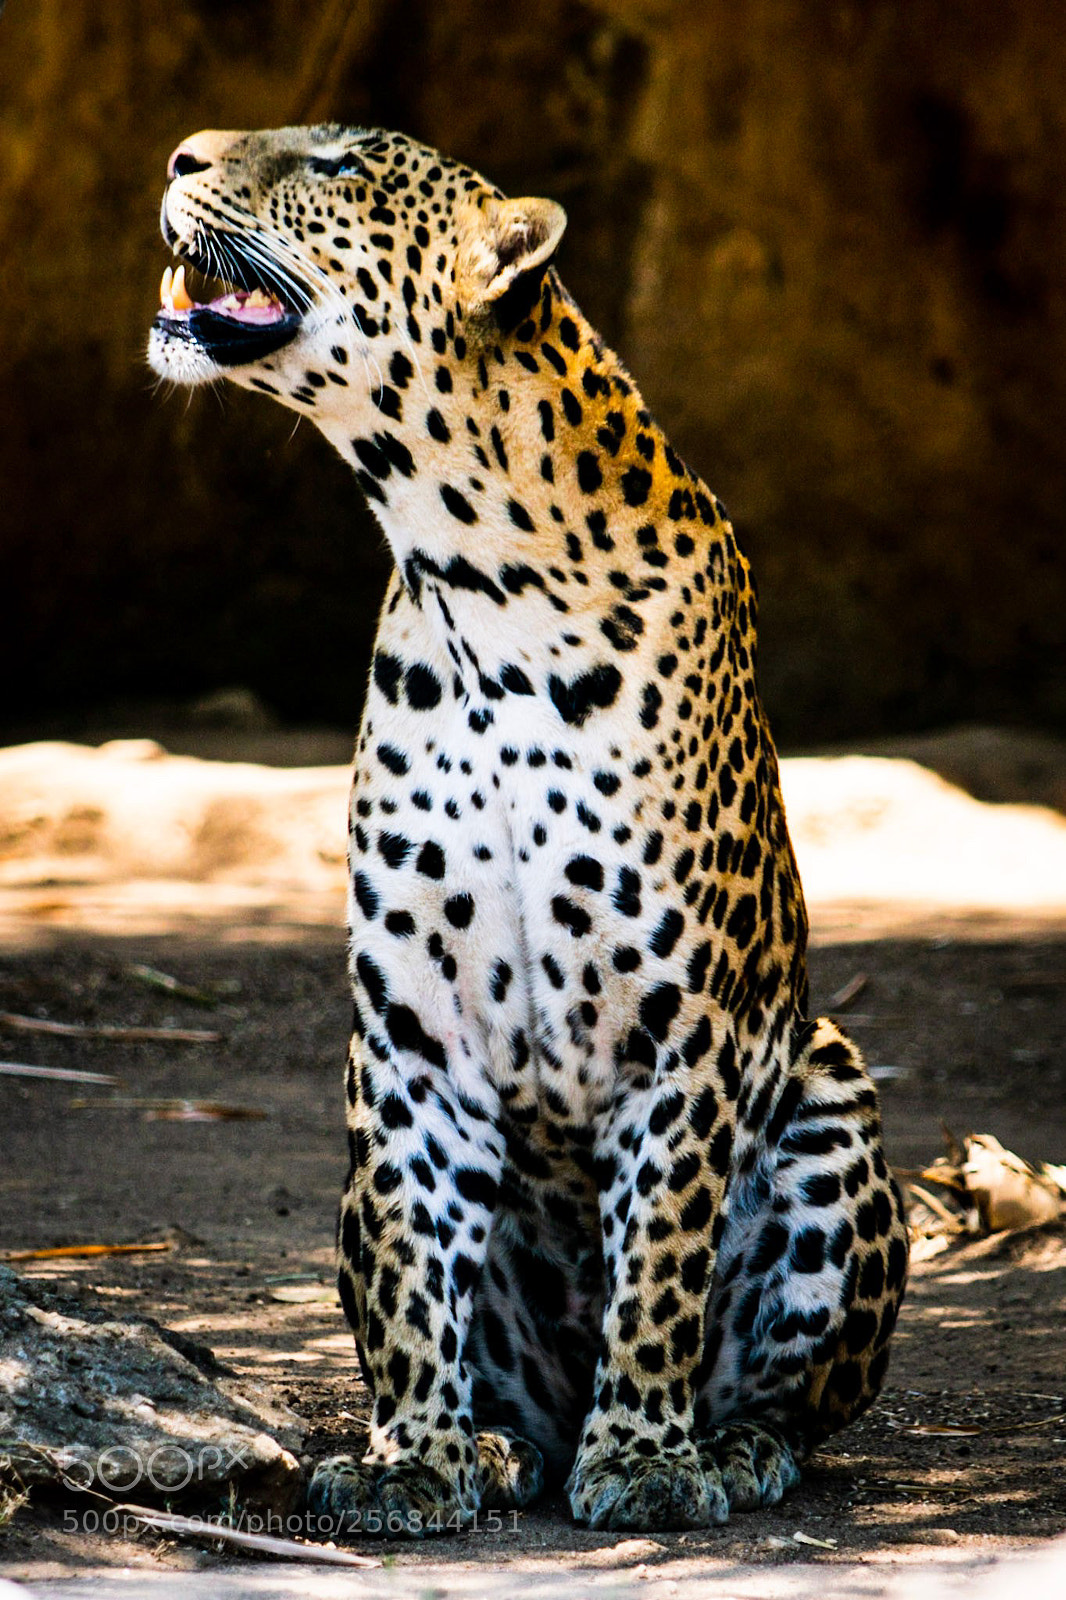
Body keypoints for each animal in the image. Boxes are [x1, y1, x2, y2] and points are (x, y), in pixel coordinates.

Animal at [148, 123, 908, 1537]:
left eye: (337, 162)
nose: (177, 154)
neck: (477, 588)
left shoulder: (683, 1030)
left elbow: (658, 1260)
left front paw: (647, 1455)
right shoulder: (408, 1031)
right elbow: (413, 1270)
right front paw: (414, 1458)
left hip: (831, 1092)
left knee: (796, 1400)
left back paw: (723, 1447)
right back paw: (505, 1441)